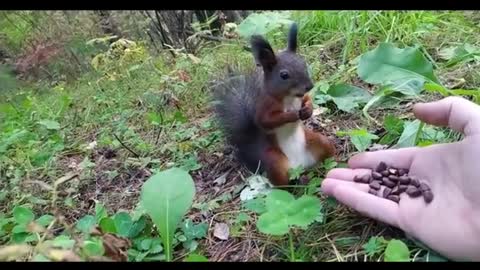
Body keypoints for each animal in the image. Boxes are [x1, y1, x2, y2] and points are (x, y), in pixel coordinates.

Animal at [212, 22, 336, 187]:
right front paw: (292, 114)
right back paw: (299, 181)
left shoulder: (302, 97)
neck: (290, 97)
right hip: (275, 162)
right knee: (285, 182)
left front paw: (307, 110)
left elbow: (307, 100)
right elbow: (267, 120)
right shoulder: (265, 106)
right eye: (284, 75)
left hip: (319, 141)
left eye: (304, 64)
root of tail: (300, 165)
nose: (309, 86)